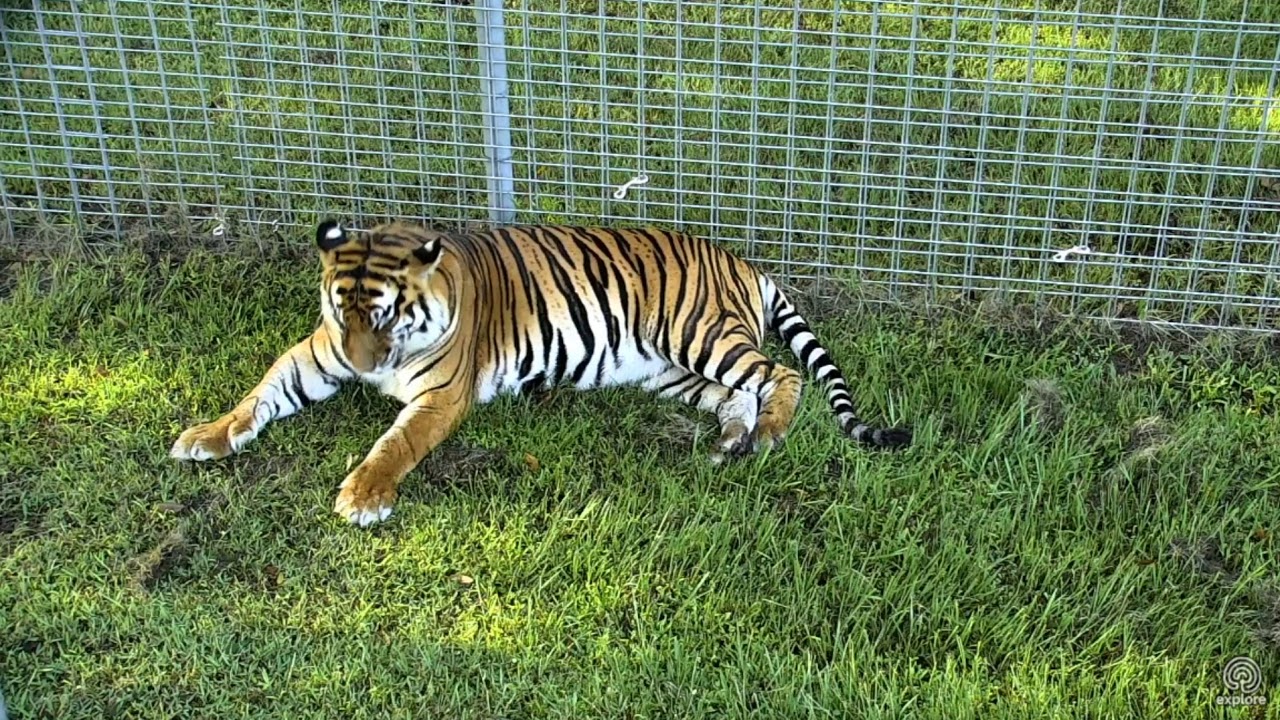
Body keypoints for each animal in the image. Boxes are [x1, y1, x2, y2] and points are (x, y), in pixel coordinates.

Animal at [170, 219, 912, 527]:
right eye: (343, 311)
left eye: (384, 315)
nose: (361, 366)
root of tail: (744, 263)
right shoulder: (314, 354)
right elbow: (260, 393)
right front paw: (209, 436)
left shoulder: (440, 396)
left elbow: (395, 444)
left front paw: (365, 496)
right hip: (669, 370)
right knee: (738, 394)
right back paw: (734, 440)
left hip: (699, 334)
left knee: (780, 375)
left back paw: (773, 432)